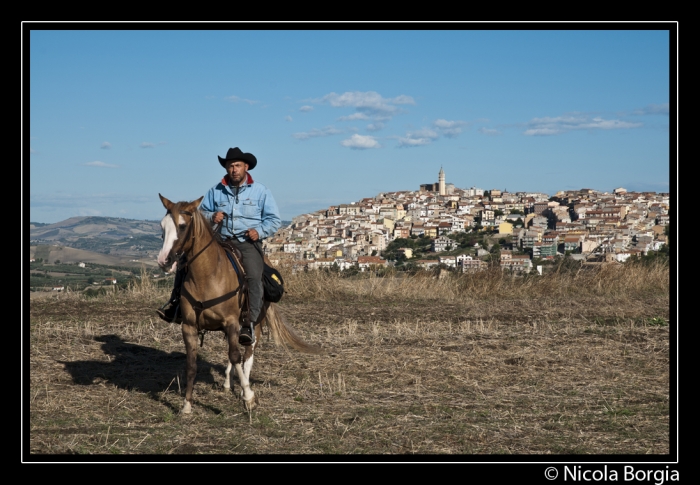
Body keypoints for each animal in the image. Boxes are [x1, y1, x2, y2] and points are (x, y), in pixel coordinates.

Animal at [156, 193, 320, 412]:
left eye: (182, 226)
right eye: (162, 226)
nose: (164, 261)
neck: (207, 275)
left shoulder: (232, 322)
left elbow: (236, 356)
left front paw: (249, 397)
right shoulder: (189, 327)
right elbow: (191, 364)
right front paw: (187, 406)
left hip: (254, 323)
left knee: (247, 355)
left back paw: (244, 387)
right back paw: (228, 382)